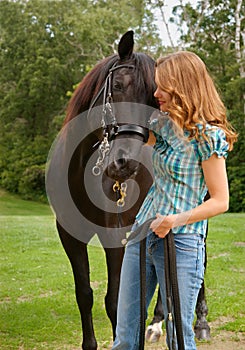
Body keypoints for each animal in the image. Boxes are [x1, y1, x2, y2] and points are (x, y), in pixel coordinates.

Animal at [46, 31, 211, 348]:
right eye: (118, 86)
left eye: (153, 100)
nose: (125, 163)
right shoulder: (70, 235)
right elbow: (84, 294)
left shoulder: (116, 236)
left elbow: (116, 302)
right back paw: (158, 322)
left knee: (200, 261)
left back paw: (198, 322)